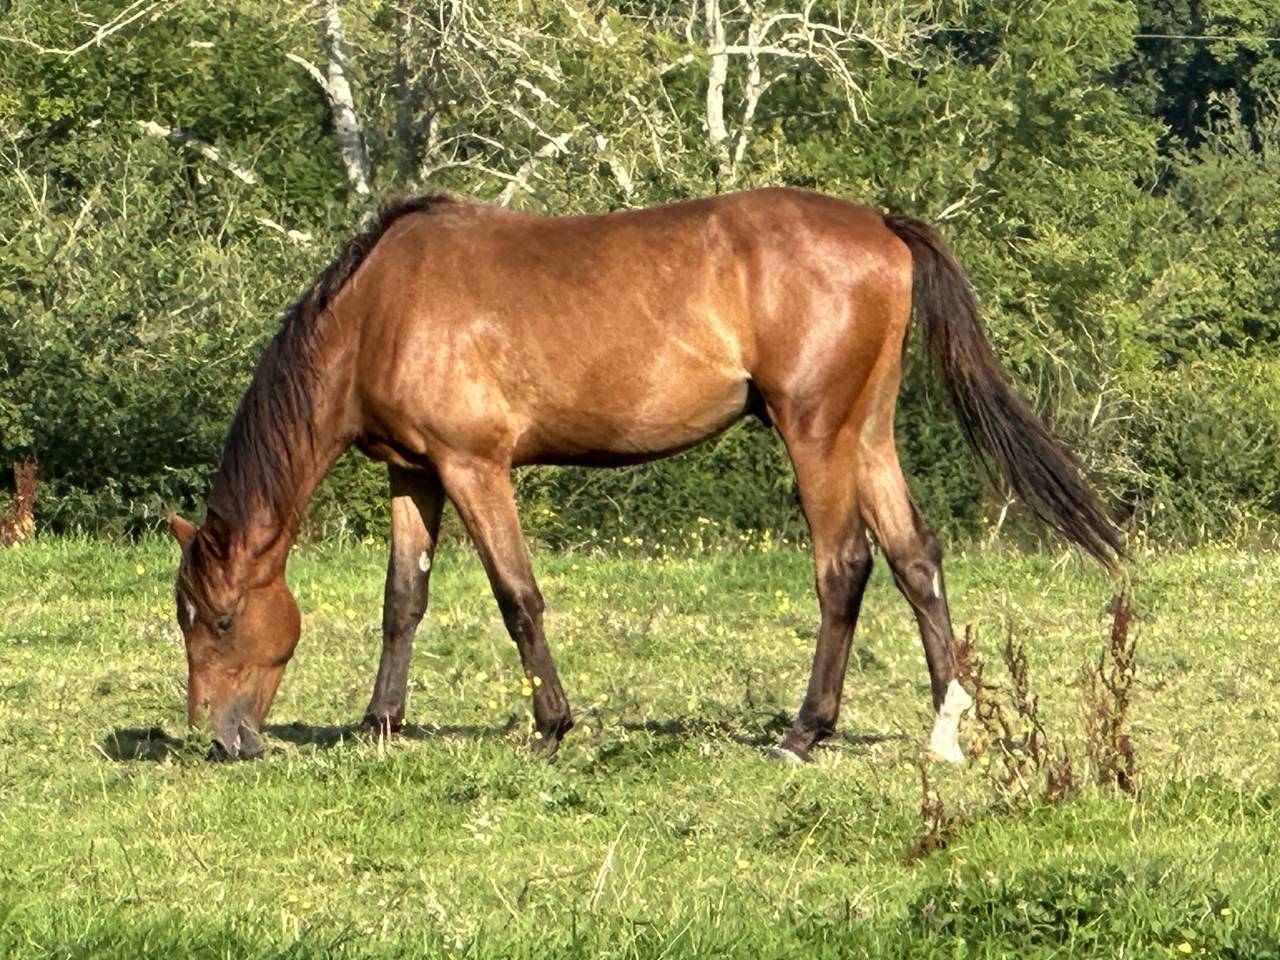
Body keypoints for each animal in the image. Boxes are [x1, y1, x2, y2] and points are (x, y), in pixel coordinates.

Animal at [167, 188, 1122, 762]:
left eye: (220, 619)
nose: (222, 739)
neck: (382, 307)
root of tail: (880, 225)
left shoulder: (477, 468)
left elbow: (518, 597)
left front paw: (551, 726)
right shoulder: (418, 475)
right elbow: (403, 599)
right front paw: (379, 723)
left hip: (815, 430)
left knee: (844, 567)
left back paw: (805, 731)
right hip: (867, 432)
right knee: (915, 558)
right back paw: (947, 724)